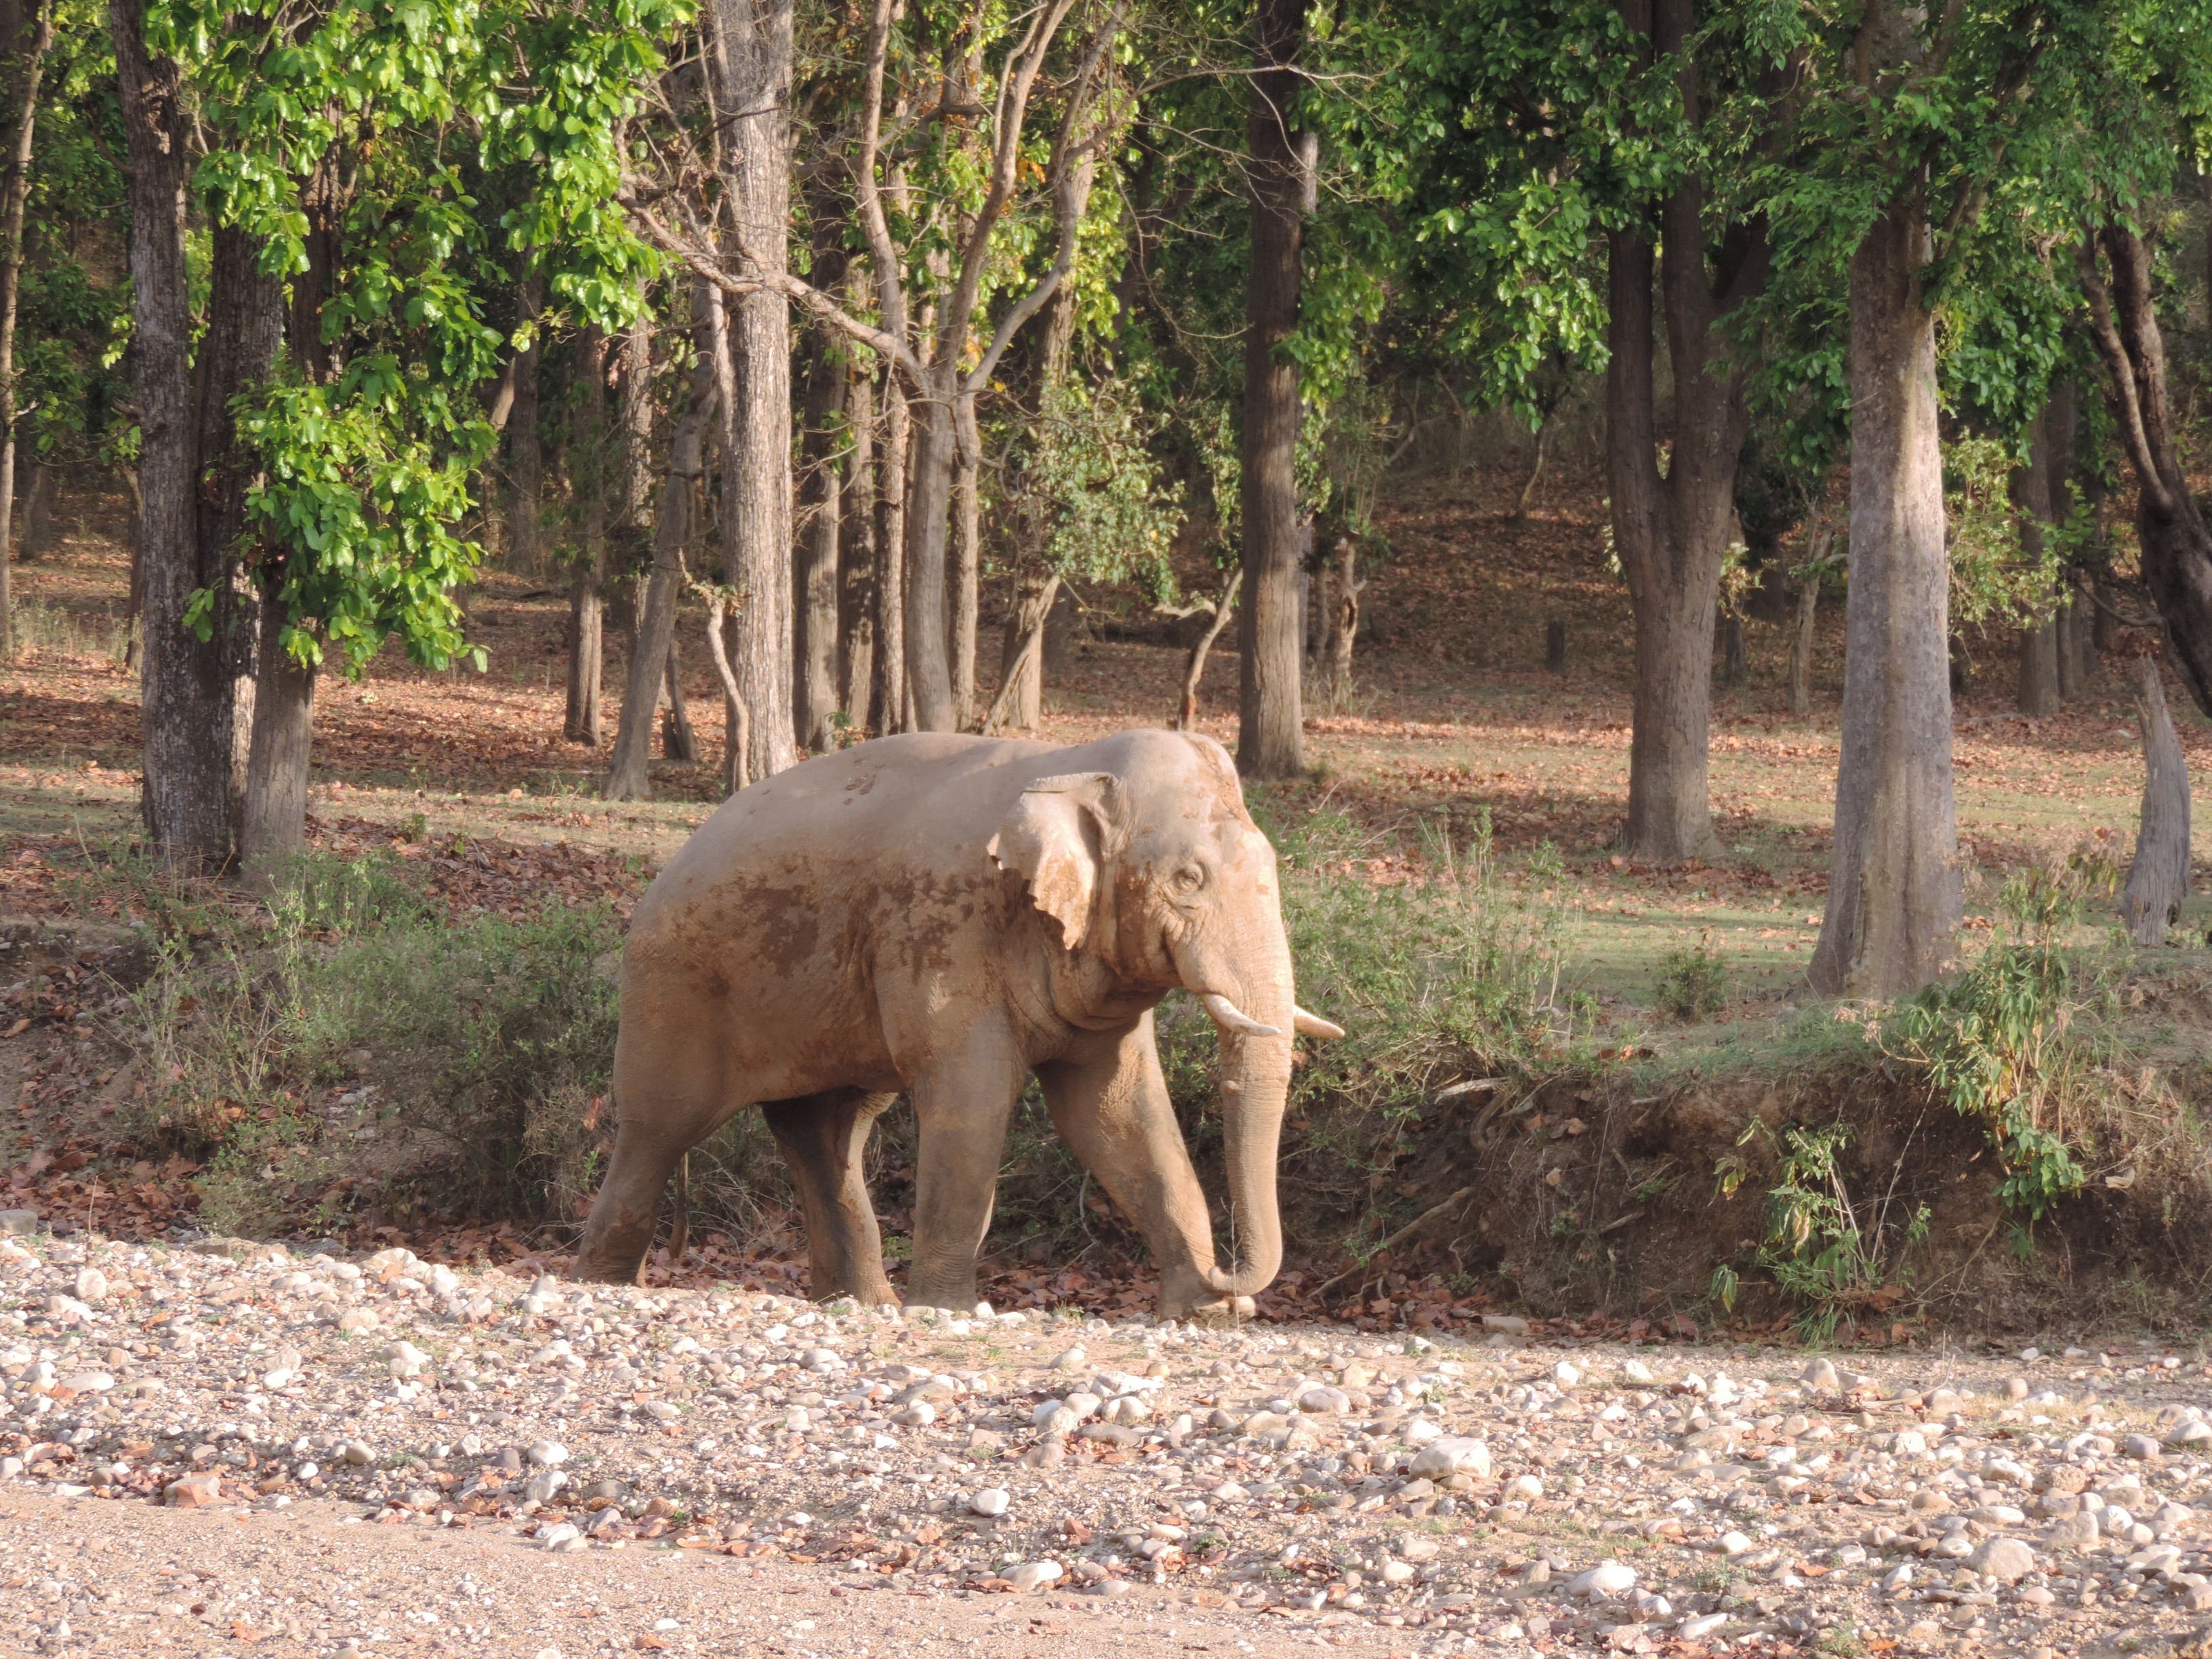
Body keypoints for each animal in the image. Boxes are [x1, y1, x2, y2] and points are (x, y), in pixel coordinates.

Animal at [579, 730, 1336, 1327]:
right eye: (1187, 878)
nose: (1228, 1277)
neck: (1071, 761)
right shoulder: (943, 928)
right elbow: (972, 1097)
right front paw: (948, 1308)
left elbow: (1115, 1113)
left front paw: (1203, 1314)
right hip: (673, 987)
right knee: (660, 1124)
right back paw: (605, 1282)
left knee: (828, 1134)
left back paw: (862, 1303)